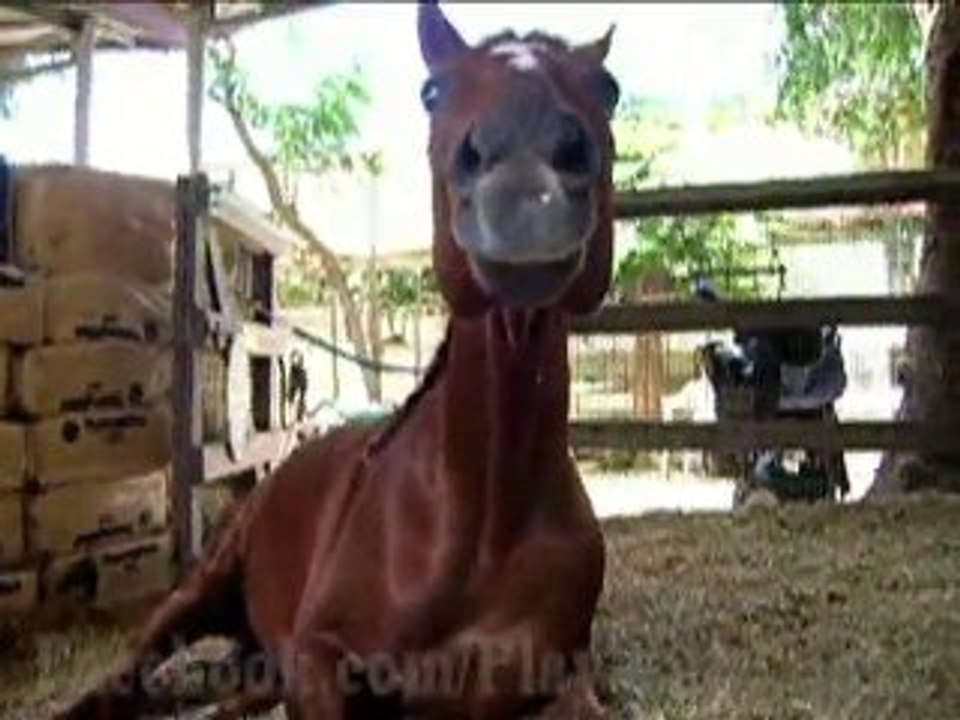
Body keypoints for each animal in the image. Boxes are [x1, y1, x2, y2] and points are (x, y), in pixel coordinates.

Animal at [53, 3, 620, 718]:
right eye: (432, 90)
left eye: (609, 88)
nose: (526, 173)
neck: (484, 518)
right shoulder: (321, 653)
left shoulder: (562, 676)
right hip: (203, 587)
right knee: (133, 669)